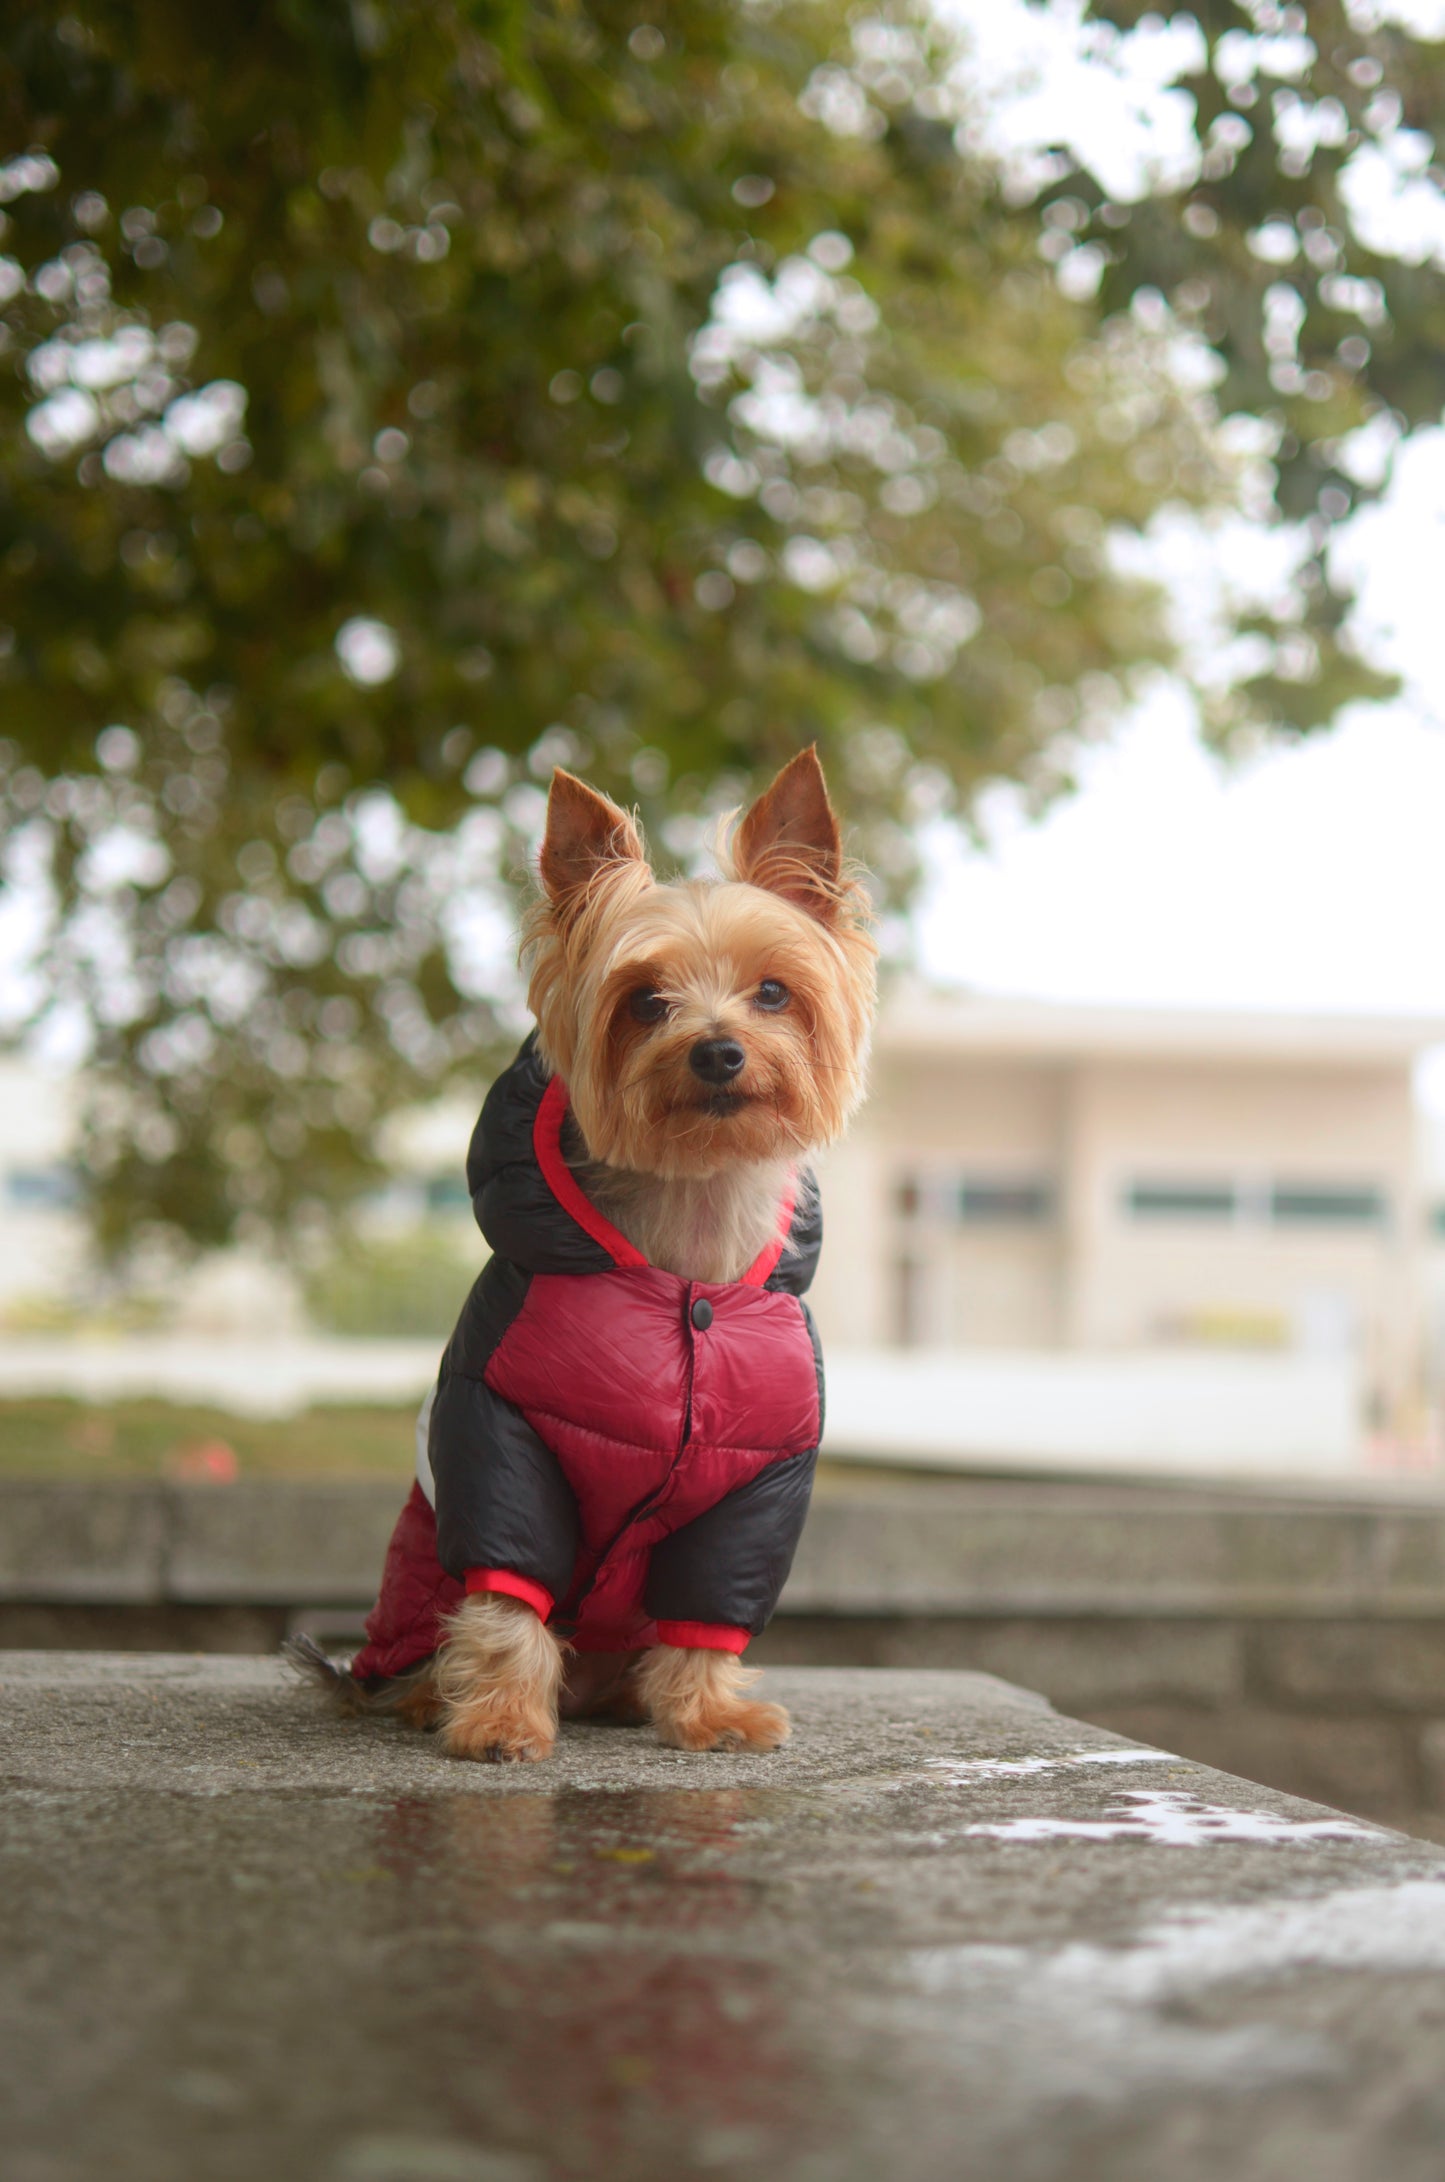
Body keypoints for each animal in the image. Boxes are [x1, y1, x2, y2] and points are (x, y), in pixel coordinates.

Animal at [292, 746, 877, 1754]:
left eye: (772, 990)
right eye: (644, 1001)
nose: (717, 1052)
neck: (686, 1242)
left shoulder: (757, 1481)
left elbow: (711, 1602)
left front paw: (709, 1714)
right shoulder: (501, 1435)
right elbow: (505, 1593)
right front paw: (497, 1719)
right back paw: (429, 1696)